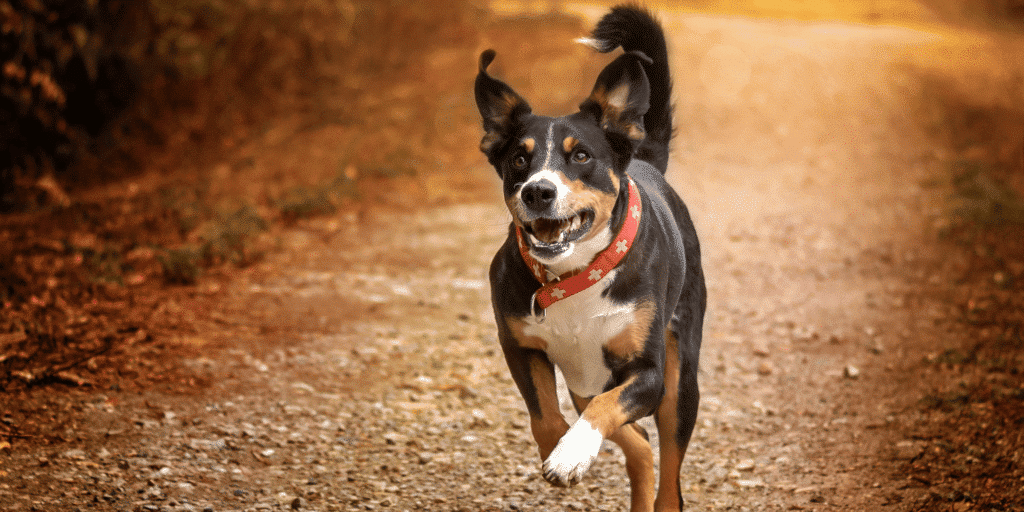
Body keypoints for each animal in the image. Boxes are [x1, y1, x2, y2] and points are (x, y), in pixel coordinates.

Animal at [471, 4, 704, 512]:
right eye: (519, 160)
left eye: (580, 156)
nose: (538, 191)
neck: (574, 275)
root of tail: (645, 158)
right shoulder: (519, 346)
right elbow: (545, 417)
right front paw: (563, 451)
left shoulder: (648, 374)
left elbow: (604, 410)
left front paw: (570, 455)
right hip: (585, 374)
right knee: (639, 443)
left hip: (680, 382)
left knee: (668, 473)